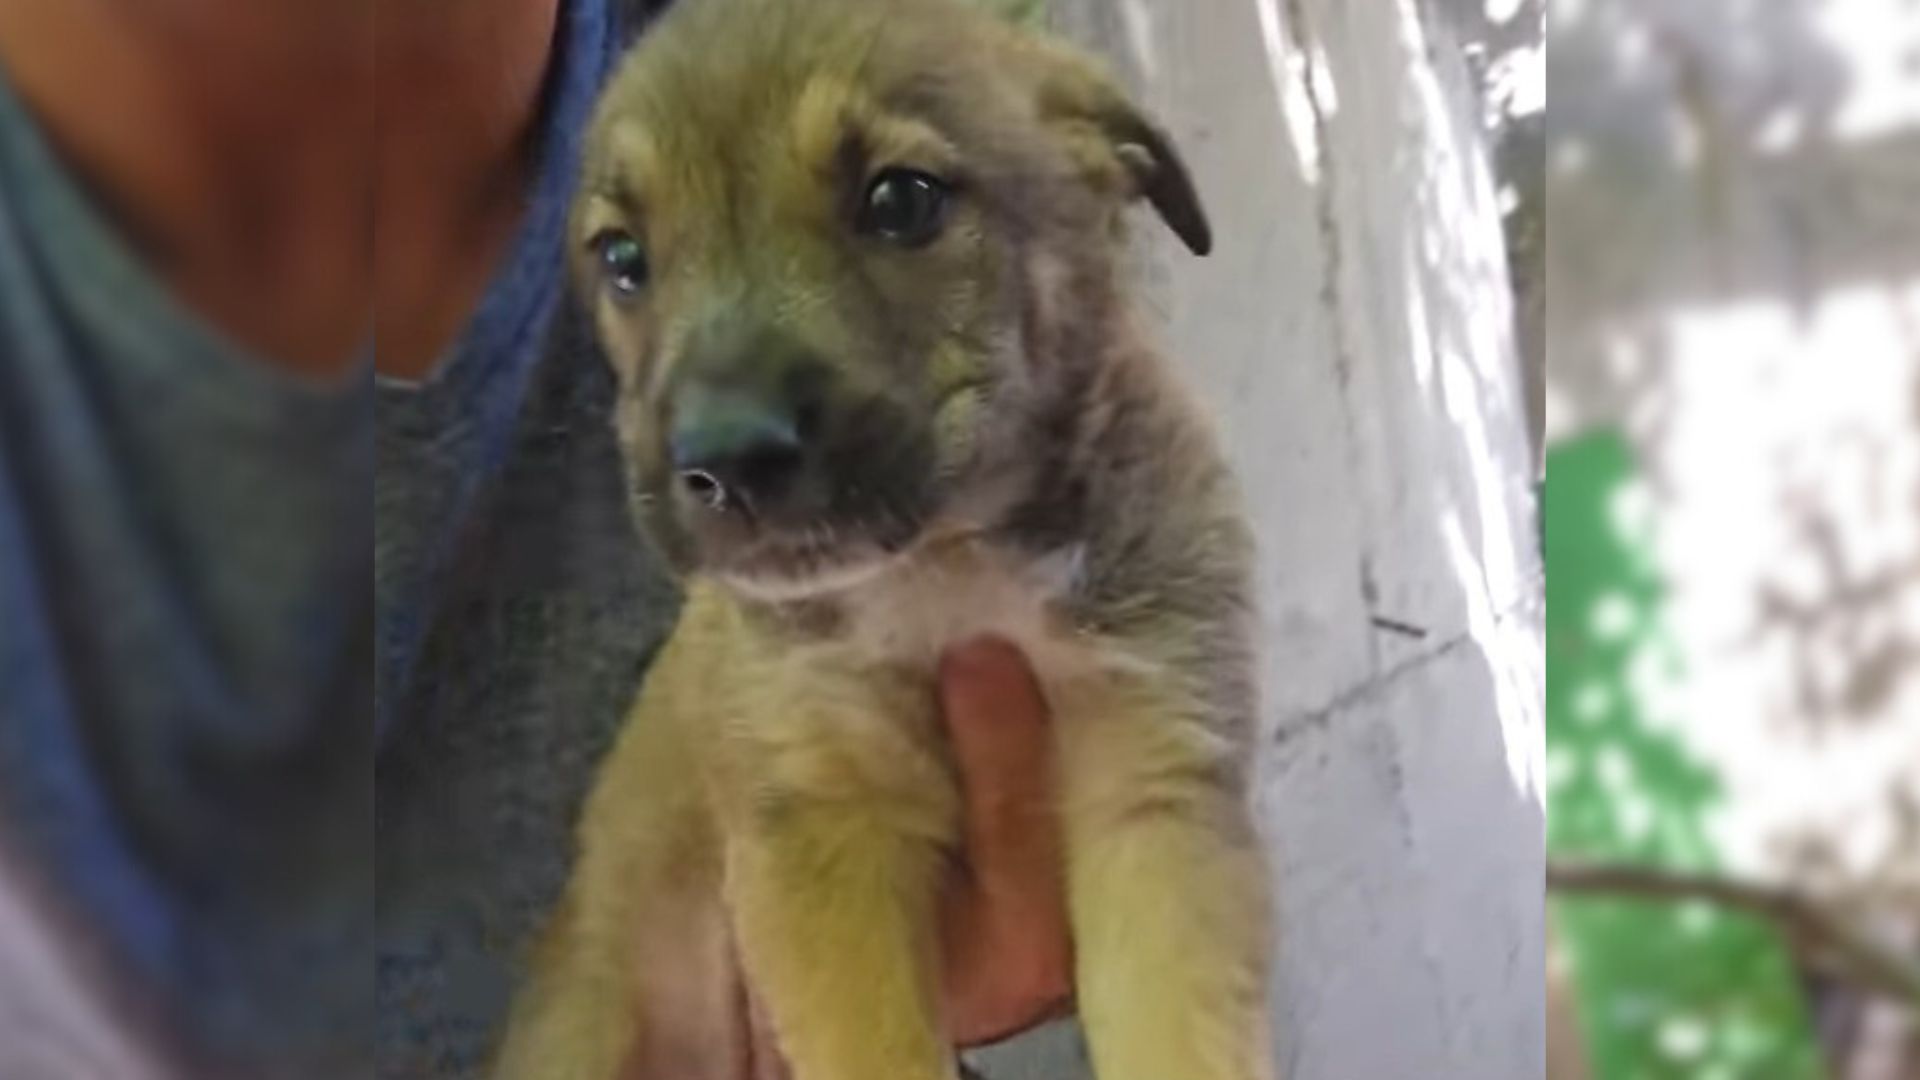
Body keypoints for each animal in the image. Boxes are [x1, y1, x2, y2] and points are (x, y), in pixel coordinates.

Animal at [495, 0, 1274, 1068]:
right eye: (623, 261)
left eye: (902, 202)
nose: (728, 462)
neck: (952, 560)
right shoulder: (821, 815)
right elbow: (880, 1054)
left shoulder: (1156, 781)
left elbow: (1181, 1041)